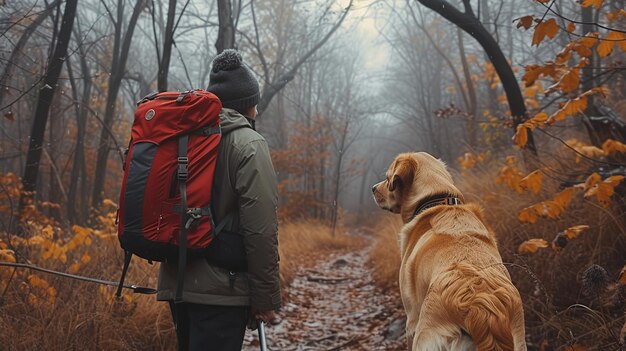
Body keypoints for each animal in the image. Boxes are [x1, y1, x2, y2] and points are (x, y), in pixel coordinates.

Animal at [370, 153, 528, 350]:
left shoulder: (411, 318)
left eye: (387, 177)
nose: (373, 188)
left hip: (424, 335)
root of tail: (481, 307)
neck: (436, 200)